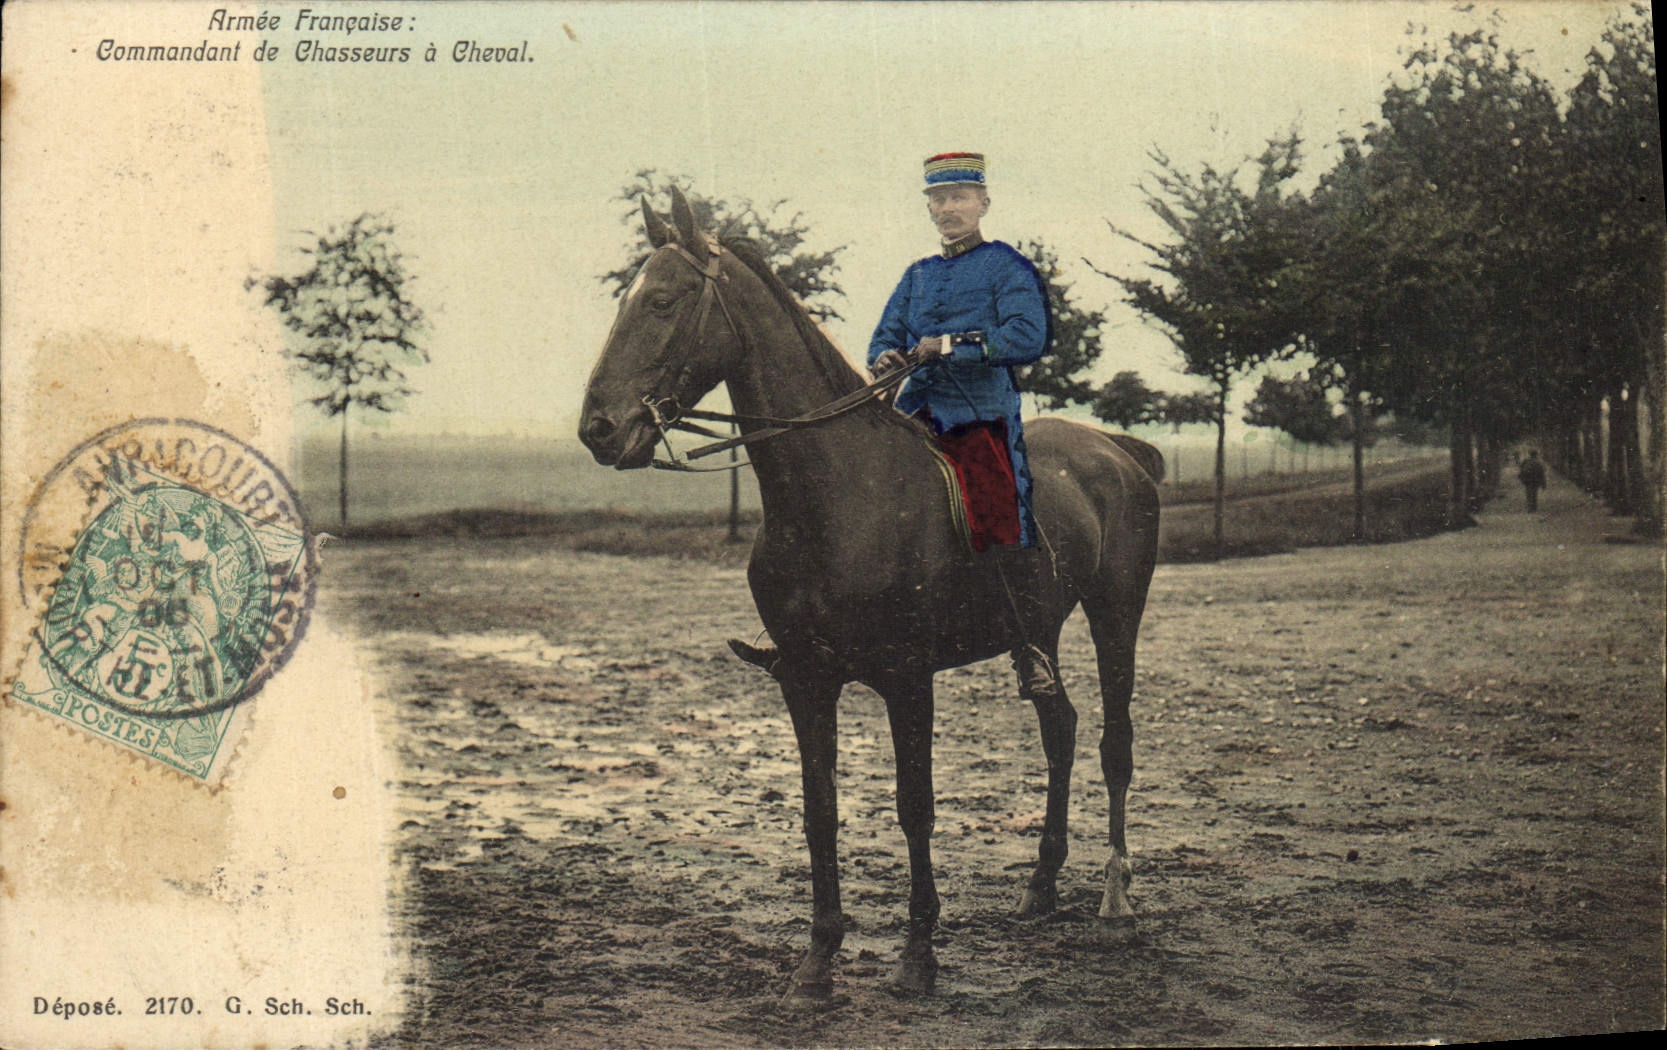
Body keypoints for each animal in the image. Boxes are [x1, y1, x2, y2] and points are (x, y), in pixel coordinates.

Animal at [578, 186, 1163, 1006]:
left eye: (662, 301)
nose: (598, 429)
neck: (835, 492)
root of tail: (1119, 450)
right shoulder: (805, 680)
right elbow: (818, 810)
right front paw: (817, 961)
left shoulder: (905, 679)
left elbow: (914, 808)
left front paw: (917, 955)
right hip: (1039, 632)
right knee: (1062, 730)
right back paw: (1041, 885)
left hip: (1117, 615)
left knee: (1114, 744)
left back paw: (1114, 898)